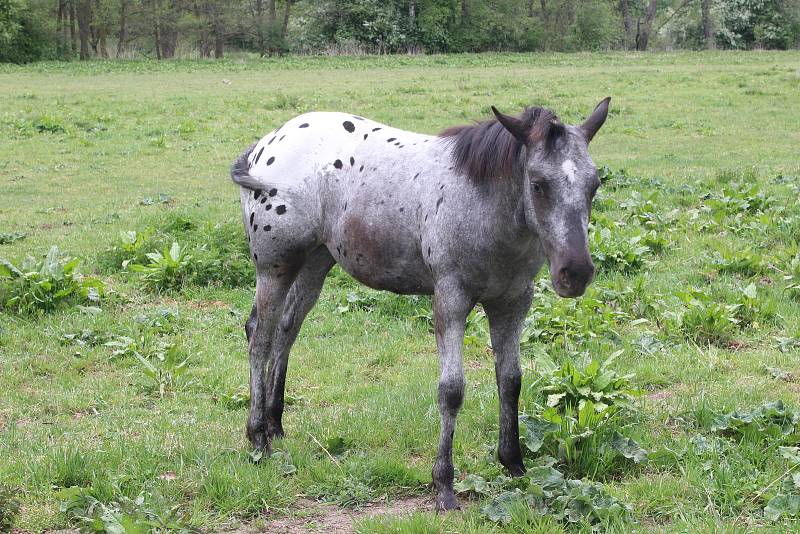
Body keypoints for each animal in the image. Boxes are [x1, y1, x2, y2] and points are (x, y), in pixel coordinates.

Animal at [231, 98, 612, 512]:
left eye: (594, 184)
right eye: (539, 184)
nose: (575, 273)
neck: (483, 205)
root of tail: (267, 143)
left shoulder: (512, 304)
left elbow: (510, 381)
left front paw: (514, 464)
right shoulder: (450, 300)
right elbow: (452, 390)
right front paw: (443, 484)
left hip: (316, 261)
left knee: (287, 329)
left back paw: (275, 424)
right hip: (275, 267)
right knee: (260, 336)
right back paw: (258, 438)